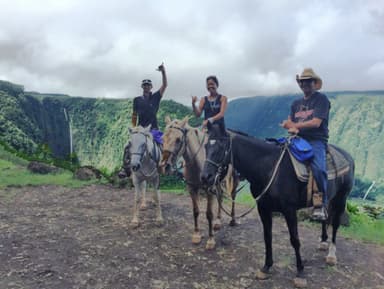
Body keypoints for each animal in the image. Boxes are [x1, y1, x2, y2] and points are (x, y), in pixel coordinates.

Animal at [161, 116, 238, 249]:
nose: (165, 166)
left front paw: (211, 239)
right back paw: (218, 221)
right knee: (220, 197)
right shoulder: (192, 189)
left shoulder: (209, 190)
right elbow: (196, 211)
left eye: (178, 139)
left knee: (233, 196)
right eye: (163, 137)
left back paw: (233, 220)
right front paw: (196, 234)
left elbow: (209, 214)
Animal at [201, 121, 354, 284]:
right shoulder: (263, 208)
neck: (270, 168)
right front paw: (266, 267)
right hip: (328, 198)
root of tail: (348, 156)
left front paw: (300, 272)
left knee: (335, 224)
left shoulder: (289, 210)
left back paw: (331, 254)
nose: (205, 177)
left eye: (221, 147)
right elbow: (267, 237)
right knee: (325, 217)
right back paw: (323, 242)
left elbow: (295, 240)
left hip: (341, 198)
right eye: (206, 146)